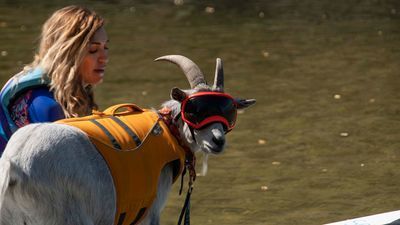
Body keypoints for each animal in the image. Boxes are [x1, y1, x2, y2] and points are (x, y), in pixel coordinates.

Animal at [0, 55, 256, 225]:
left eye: (228, 111)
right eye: (194, 109)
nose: (217, 141)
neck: (168, 129)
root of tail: (15, 165)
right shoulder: (150, 211)